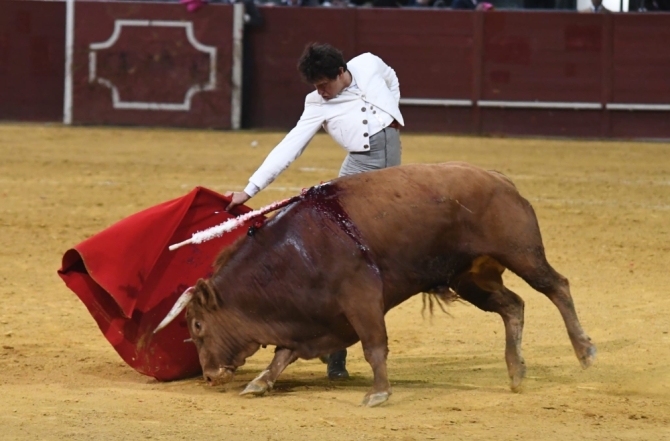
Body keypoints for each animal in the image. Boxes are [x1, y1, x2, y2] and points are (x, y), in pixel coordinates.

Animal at [158, 161, 600, 406]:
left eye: (197, 325)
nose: (209, 374)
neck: (296, 253)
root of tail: (499, 179)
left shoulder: (362, 298)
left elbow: (374, 347)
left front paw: (378, 393)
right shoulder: (312, 319)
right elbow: (283, 353)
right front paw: (259, 383)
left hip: (521, 252)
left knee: (557, 287)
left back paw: (585, 351)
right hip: (471, 277)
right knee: (513, 305)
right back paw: (516, 371)